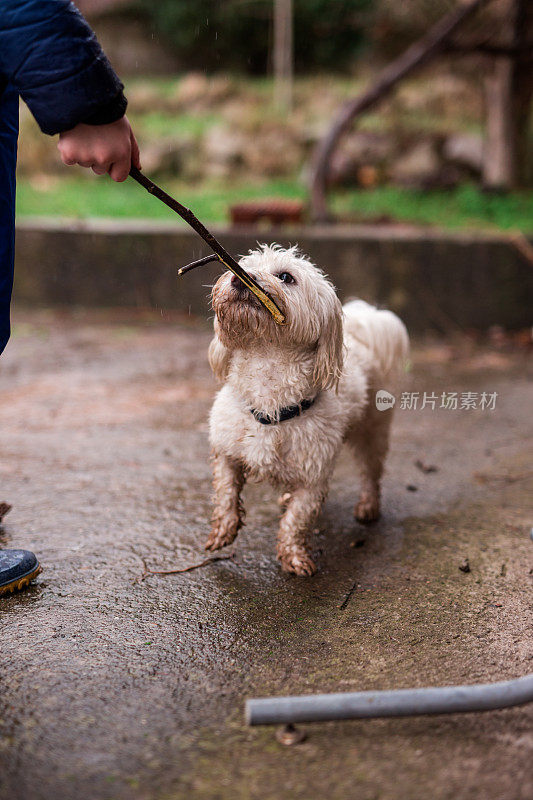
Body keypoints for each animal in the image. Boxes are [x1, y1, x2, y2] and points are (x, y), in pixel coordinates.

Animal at [205, 244, 408, 576]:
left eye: (286, 277)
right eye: (241, 266)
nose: (239, 279)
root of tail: (364, 325)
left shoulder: (314, 479)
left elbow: (296, 520)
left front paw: (294, 556)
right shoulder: (226, 452)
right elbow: (225, 493)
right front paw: (223, 530)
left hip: (373, 429)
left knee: (371, 471)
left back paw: (368, 507)